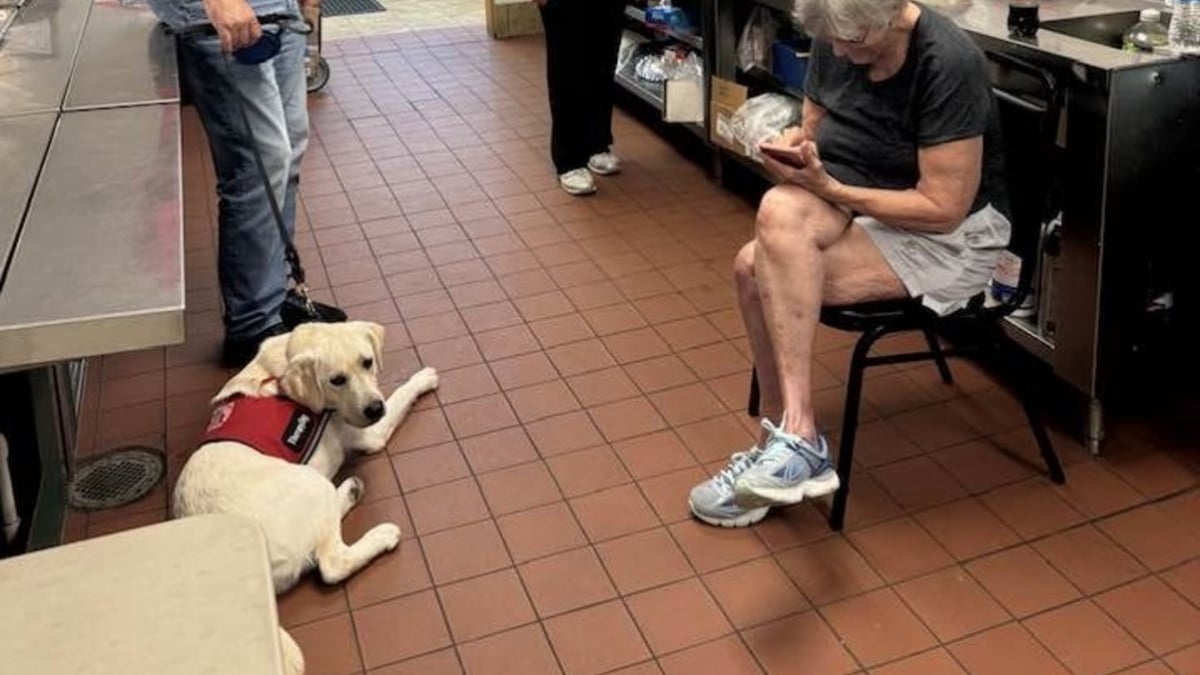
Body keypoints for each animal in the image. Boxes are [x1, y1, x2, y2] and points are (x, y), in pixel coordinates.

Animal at [174, 321, 441, 672]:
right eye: (336, 380)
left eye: (367, 362)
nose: (374, 408)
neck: (284, 362)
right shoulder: (369, 434)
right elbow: (400, 395)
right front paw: (423, 378)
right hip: (310, 484)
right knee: (331, 563)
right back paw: (380, 532)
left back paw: (350, 491)